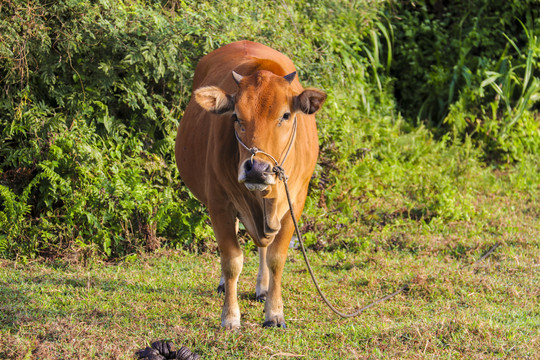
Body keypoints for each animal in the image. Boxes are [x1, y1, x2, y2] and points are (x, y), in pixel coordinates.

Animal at [175, 40, 324, 330]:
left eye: (285, 115)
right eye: (235, 116)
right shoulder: (219, 202)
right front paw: (230, 316)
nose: (257, 168)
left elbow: (277, 257)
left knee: (264, 246)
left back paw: (262, 288)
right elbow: (232, 259)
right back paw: (225, 285)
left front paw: (274, 313)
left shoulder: (295, 201)